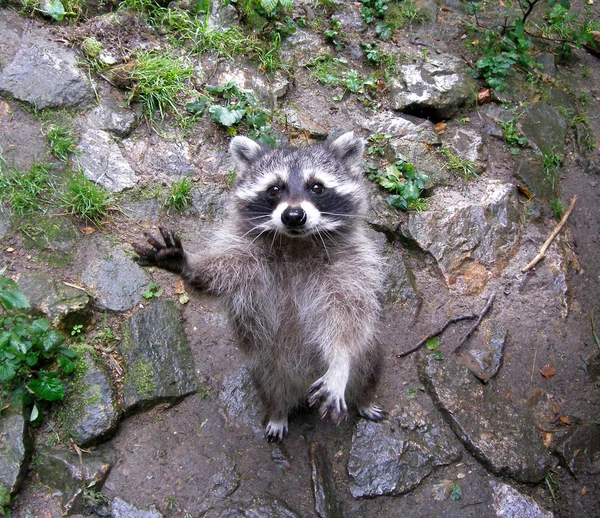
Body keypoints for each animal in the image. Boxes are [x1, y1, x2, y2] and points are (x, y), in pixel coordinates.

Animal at [134, 131, 386, 442]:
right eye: (274, 189)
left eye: (317, 187)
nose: (293, 215)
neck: (296, 243)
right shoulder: (248, 259)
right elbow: (222, 275)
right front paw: (188, 263)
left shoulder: (352, 266)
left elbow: (348, 317)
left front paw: (339, 361)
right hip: (266, 366)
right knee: (271, 388)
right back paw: (277, 412)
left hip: (369, 355)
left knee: (368, 367)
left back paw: (364, 398)